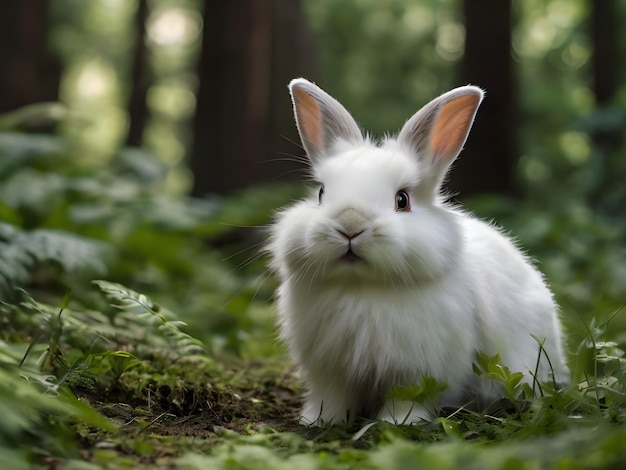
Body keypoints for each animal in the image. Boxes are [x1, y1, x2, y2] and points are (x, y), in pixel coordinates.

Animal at [266, 78, 568, 426]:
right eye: (321, 193)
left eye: (402, 200)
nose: (350, 224)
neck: (361, 287)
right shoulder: (329, 370)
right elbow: (332, 397)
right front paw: (320, 421)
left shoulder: (416, 369)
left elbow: (407, 398)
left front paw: (398, 423)